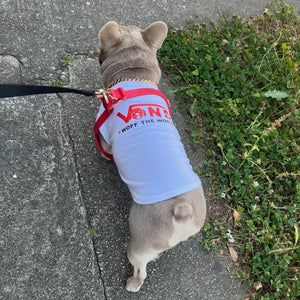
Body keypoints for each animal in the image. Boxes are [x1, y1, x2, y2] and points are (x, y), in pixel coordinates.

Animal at [98, 21, 206, 292]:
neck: (135, 74)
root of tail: (182, 210)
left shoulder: (104, 135)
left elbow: (106, 149)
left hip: (139, 238)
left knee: (140, 268)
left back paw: (131, 283)